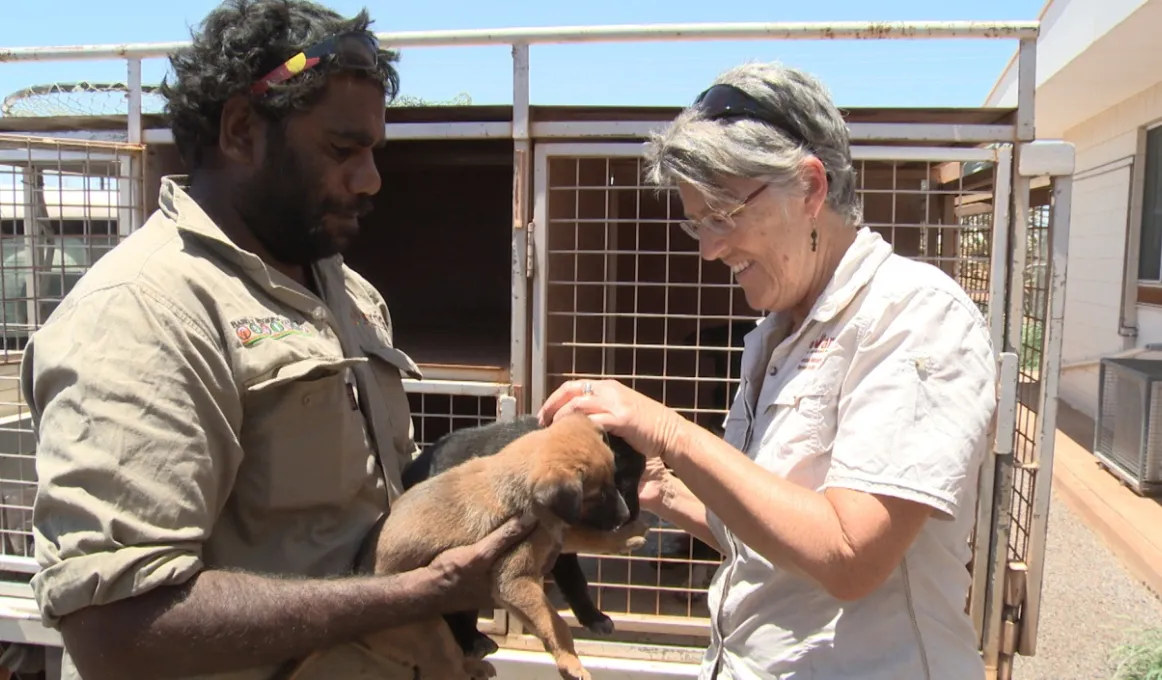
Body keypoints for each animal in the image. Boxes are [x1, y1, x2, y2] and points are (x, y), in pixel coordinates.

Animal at [357, 411, 641, 674]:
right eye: (599, 496)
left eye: (619, 481)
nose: (627, 515)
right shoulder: (514, 579)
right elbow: (555, 623)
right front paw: (571, 662)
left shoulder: (555, 533)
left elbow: (584, 546)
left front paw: (626, 538)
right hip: (430, 627)